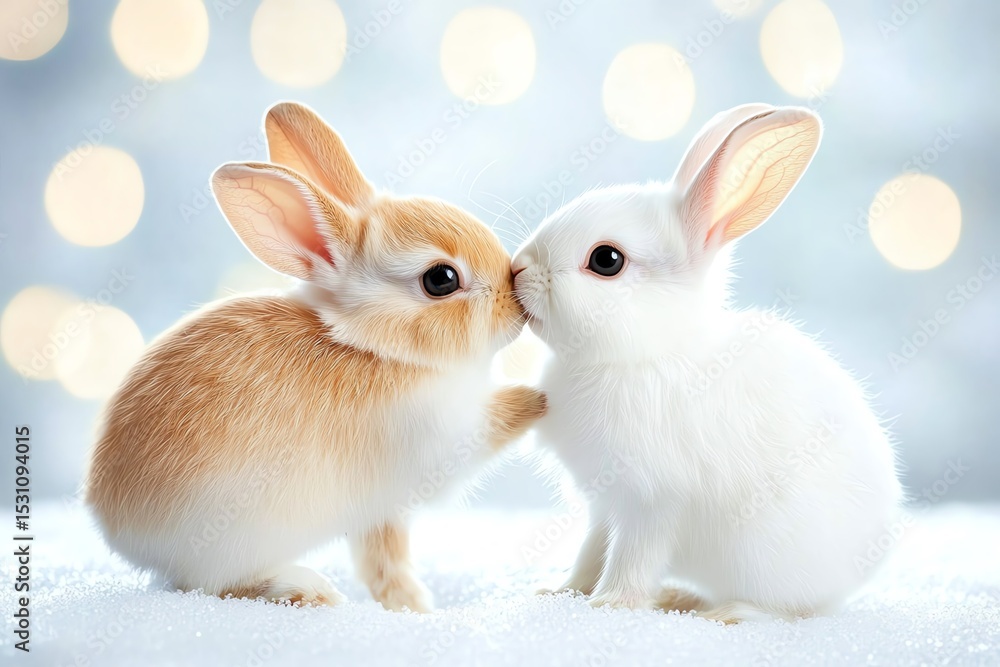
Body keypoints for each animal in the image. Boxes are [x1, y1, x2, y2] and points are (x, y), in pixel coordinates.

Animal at [85, 101, 546, 611]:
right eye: (441, 279)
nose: (515, 301)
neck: (375, 347)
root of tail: (125, 535)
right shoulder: (441, 436)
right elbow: (493, 422)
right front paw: (539, 396)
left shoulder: (382, 510)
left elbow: (383, 559)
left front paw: (410, 606)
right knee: (215, 586)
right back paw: (306, 591)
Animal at [512, 104, 902, 623]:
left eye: (607, 260)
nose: (518, 268)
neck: (643, 354)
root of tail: (864, 569)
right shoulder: (604, 504)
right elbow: (591, 551)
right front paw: (561, 592)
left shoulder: (652, 501)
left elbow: (631, 557)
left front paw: (611, 604)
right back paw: (681, 597)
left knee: (797, 611)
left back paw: (726, 613)